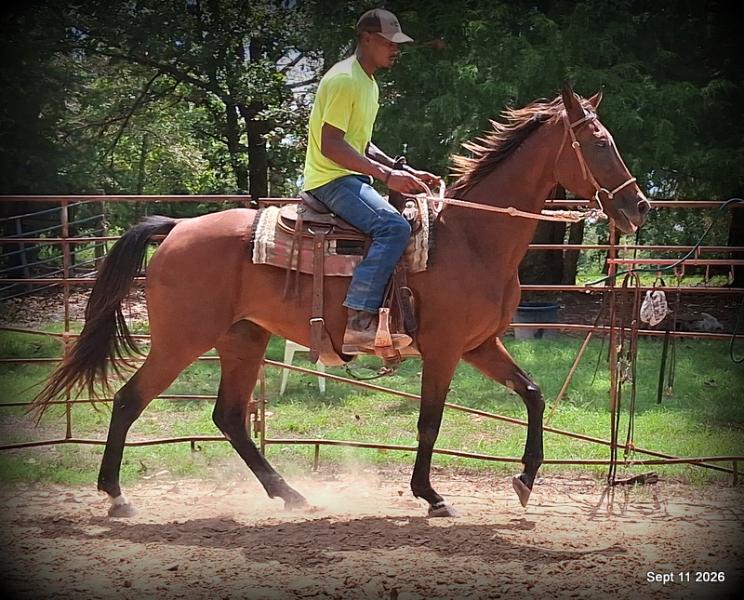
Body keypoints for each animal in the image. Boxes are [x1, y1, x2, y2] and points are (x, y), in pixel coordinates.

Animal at [32, 86, 649, 518]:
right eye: (600, 143)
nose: (639, 206)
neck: (474, 239)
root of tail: (177, 227)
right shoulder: (445, 349)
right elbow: (430, 422)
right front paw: (430, 495)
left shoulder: (480, 345)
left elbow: (534, 394)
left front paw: (524, 480)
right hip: (181, 340)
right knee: (129, 400)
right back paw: (116, 496)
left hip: (243, 338)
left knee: (229, 416)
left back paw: (290, 494)